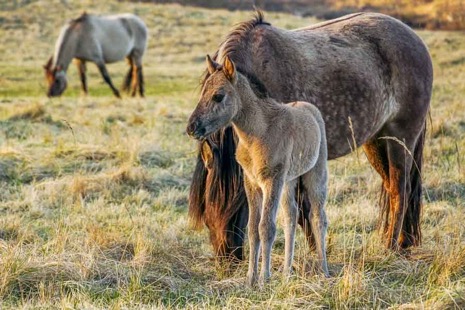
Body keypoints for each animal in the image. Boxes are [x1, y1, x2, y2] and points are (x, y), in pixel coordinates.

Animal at [187, 54, 328, 284]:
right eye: (203, 92)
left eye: (218, 96)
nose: (191, 127)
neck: (259, 133)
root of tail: (310, 108)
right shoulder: (252, 182)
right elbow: (253, 229)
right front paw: (250, 279)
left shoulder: (272, 180)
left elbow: (266, 228)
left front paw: (264, 279)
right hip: (288, 180)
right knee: (291, 215)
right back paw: (287, 272)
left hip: (315, 174)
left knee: (318, 217)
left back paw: (324, 270)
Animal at [188, 10, 432, 260]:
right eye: (207, 220)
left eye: (219, 96)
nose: (227, 260)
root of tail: (414, 39)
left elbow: (300, 211)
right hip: (376, 142)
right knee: (393, 187)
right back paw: (401, 242)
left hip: (401, 137)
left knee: (400, 190)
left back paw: (390, 247)